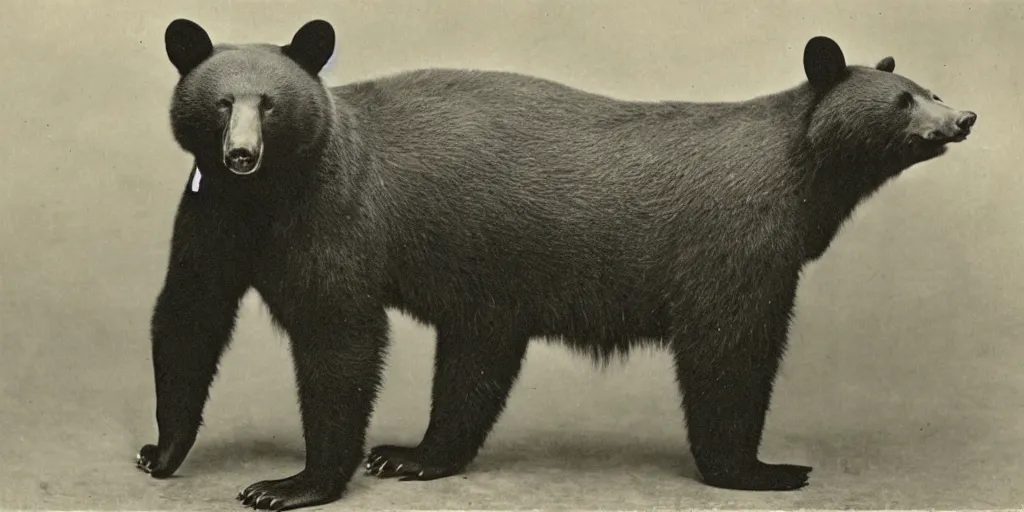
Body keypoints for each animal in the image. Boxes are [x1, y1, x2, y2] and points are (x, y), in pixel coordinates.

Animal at [136, 18, 974, 509]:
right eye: (222, 103)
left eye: (919, 89)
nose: (961, 116)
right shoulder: (224, 211)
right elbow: (197, 311)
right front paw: (176, 453)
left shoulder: (320, 210)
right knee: (474, 364)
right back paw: (414, 456)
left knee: (473, 364)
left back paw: (413, 455)